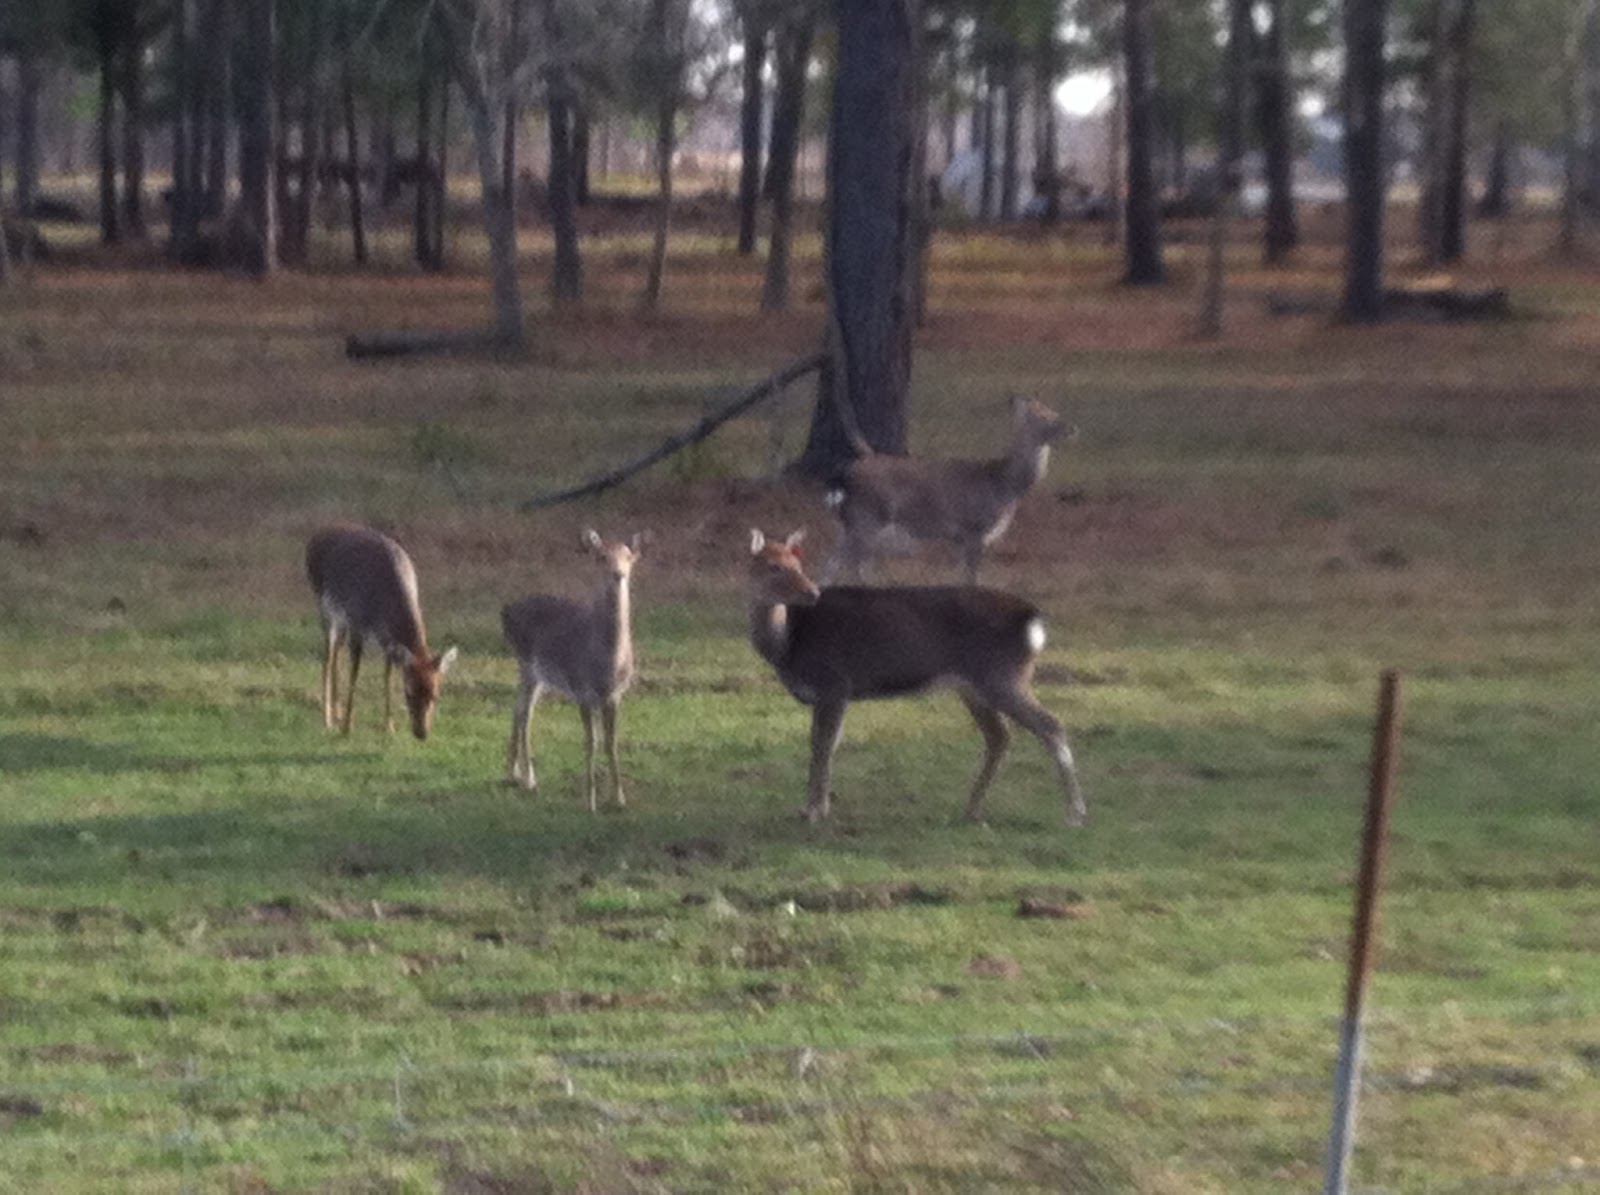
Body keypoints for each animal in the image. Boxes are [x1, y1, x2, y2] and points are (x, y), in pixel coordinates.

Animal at [305, 525, 458, 740]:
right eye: (408, 693)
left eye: (435, 694)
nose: (421, 733)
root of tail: (314, 538)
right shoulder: (357, 621)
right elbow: (354, 674)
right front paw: (347, 727)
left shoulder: (387, 640)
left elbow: (388, 675)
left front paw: (389, 726)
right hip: (324, 607)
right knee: (327, 657)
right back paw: (328, 720)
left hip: (340, 619)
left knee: (336, 654)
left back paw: (336, 714)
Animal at [501, 530, 644, 812]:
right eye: (601, 556)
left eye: (628, 557)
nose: (618, 574)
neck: (607, 664)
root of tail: (505, 611)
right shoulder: (582, 691)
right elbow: (591, 743)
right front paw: (590, 801)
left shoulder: (615, 695)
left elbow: (611, 742)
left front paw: (618, 798)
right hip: (526, 662)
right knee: (524, 712)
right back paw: (529, 779)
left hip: (536, 673)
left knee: (519, 709)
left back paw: (513, 773)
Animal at [746, 529, 1086, 826]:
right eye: (774, 566)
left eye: (798, 565)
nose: (812, 592)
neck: (788, 644)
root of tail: (1034, 620)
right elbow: (818, 744)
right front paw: (807, 808)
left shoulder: (835, 683)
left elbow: (823, 746)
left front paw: (815, 811)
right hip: (974, 686)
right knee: (1000, 736)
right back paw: (972, 809)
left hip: (1002, 676)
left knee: (1051, 726)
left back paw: (1074, 814)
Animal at [819, 396, 1071, 585]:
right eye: (1043, 415)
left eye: (1052, 410)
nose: (1071, 427)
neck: (1005, 487)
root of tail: (845, 475)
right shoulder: (974, 528)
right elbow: (974, 580)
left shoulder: (961, 538)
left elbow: (963, 578)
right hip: (867, 519)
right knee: (852, 566)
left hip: (850, 524)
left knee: (831, 564)